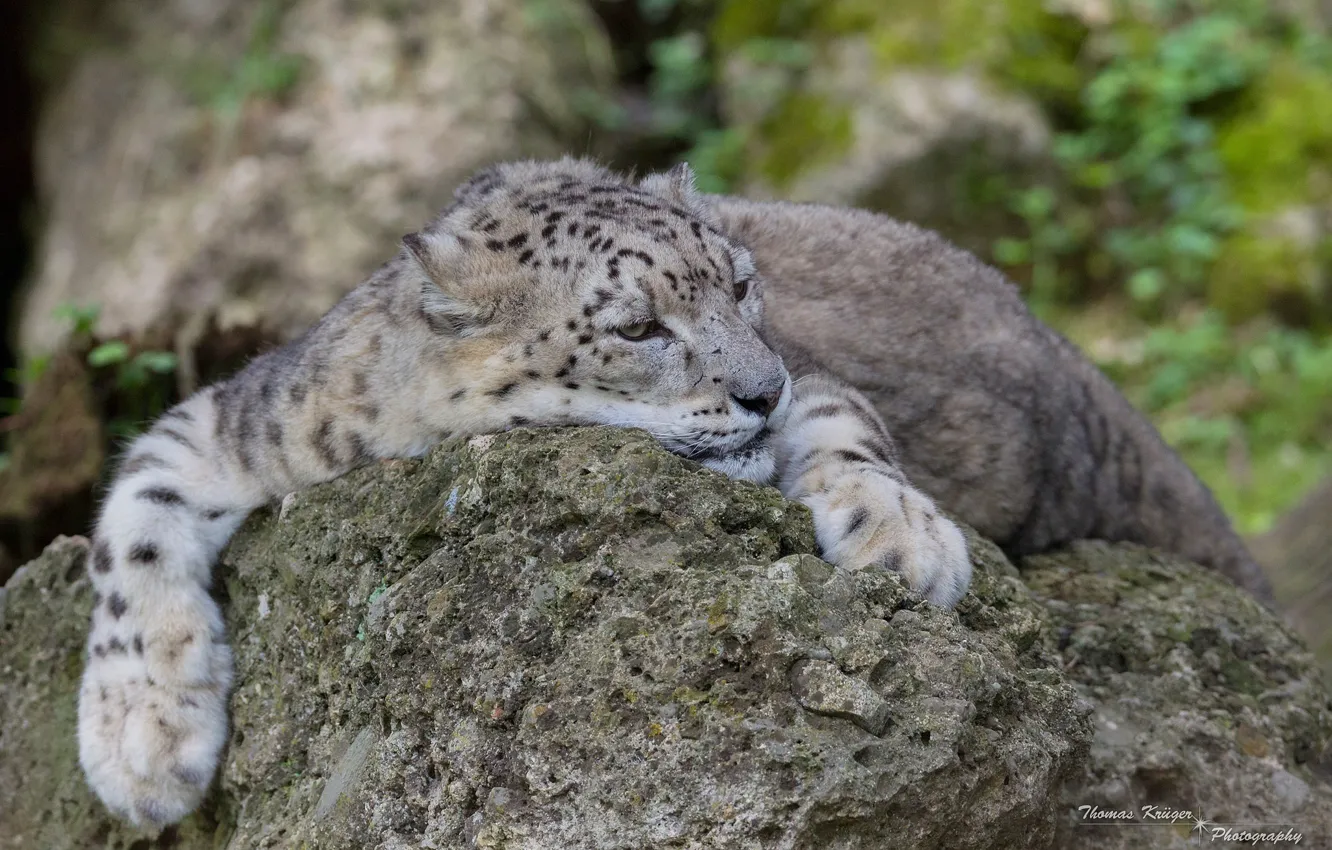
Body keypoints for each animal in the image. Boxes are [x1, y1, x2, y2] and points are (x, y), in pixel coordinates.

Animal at [76, 157, 1269, 827]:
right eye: (639, 325)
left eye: (741, 283)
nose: (760, 388)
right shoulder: (251, 418)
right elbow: (130, 524)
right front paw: (144, 745)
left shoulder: (822, 380)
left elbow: (848, 427)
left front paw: (903, 537)